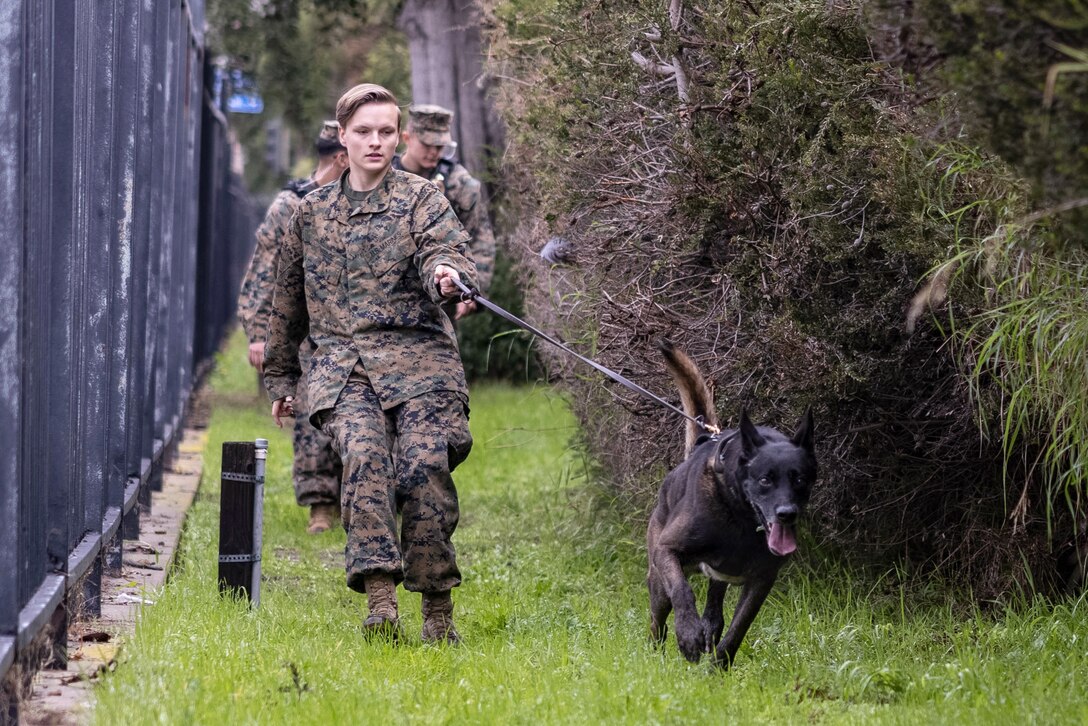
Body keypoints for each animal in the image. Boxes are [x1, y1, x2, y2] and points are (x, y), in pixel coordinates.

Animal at [644, 341, 818, 670]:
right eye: (765, 480)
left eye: (800, 479)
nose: (787, 515)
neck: (741, 518)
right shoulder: (667, 550)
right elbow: (682, 591)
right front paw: (688, 635)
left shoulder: (762, 580)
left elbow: (739, 628)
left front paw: (718, 667)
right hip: (657, 577)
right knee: (658, 616)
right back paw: (657, 652)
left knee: (715, 604)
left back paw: (709, 628)